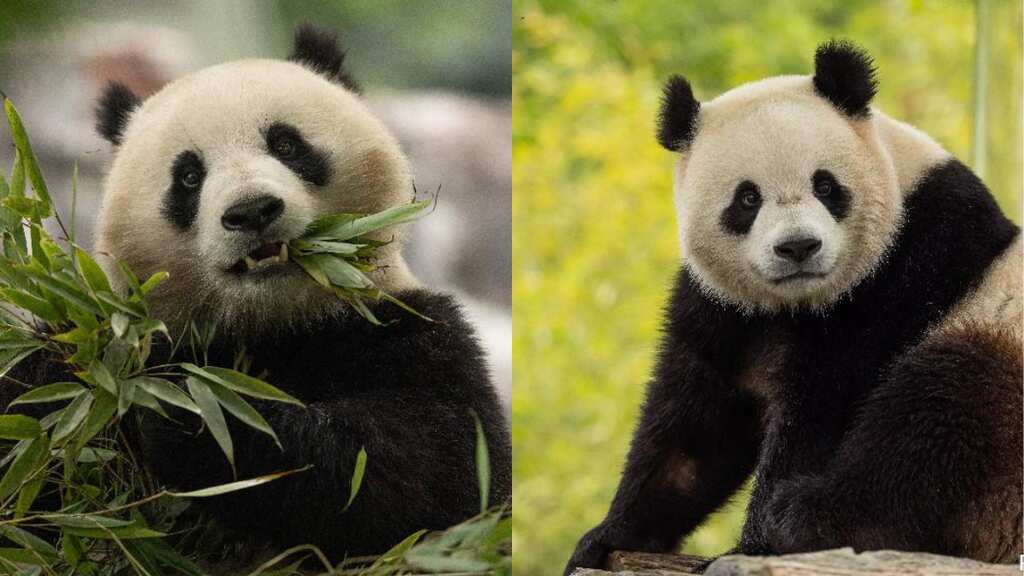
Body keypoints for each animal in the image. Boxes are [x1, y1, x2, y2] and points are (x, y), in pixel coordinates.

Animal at [4, 24, 511, 564]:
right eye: (188, 176)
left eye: (286, 144)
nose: (251, 211)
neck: (272, 324)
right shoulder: (112, 342)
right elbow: (35, 423)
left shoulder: (408, 330)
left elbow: (435, 469)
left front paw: (198, 415)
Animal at [566, 40, 1021, 573]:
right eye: (747, 198)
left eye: (825, 186)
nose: (798, 246)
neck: (797, 303)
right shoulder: (724, 308)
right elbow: (695, 427)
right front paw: (608, 536)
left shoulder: (905, 271)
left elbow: (821, 411)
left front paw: (751, 543)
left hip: (992, 341)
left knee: (937, 418)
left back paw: (807, 517)